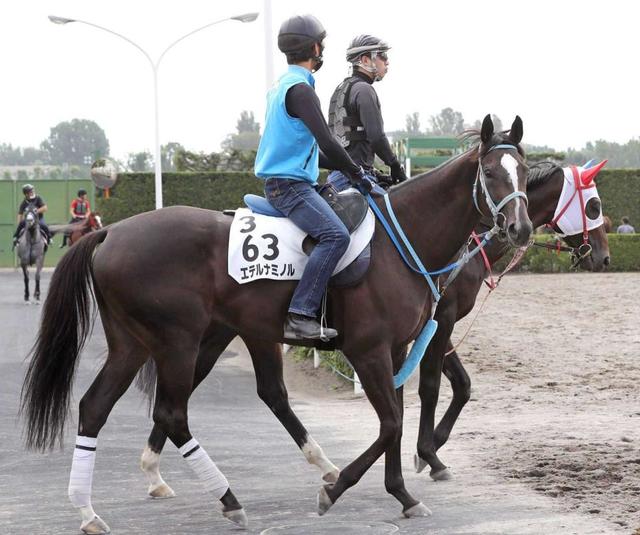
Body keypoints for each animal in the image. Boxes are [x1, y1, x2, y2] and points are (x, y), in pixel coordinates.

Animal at [18, 115, 528, 532]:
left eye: (524, 171)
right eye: (491, 172)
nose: (520, 228)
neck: (399, 239)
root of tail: (111, 232)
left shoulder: (398, 349)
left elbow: (395, 422)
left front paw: (401, 493)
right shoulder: (368, 351)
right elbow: (390, 423)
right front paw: (336, 489)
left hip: (136, 345)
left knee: (95, 407)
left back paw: (89, 510)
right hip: (178, 342)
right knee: (172, 413)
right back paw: (229, 498)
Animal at [412, 160, 612, 482]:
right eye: (594, 207)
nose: (605, 257)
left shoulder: (439, 325)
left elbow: (462, 384)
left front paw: (432, 445)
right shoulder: (442, 318)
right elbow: (431, 385)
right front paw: (428, 453)